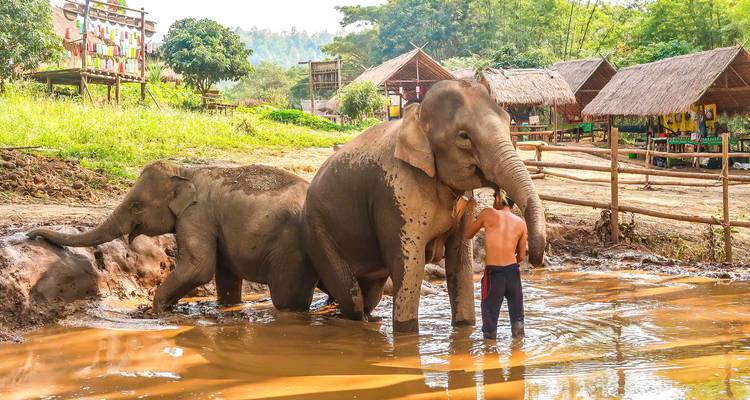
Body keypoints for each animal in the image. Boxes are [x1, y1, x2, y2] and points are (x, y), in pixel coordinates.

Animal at [27, 161, 318, 313]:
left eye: (136, 205)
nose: (32, 234)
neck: (186, 170)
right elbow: (225, 273)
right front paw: (226, 306)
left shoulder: (196, 216)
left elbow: (198, 268)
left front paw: (154, 311)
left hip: (289, 251)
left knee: (288, 299)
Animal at [302, 80, 546, 332]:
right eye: (463, 136)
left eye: (508, 122)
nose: (533, 260)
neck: (416, 117)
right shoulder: (396, 193)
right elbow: (410, 265)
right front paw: (407, 335)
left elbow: (460, 261)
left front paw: (464, 328)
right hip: (318, 233)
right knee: (352, 299)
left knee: (371, 294)